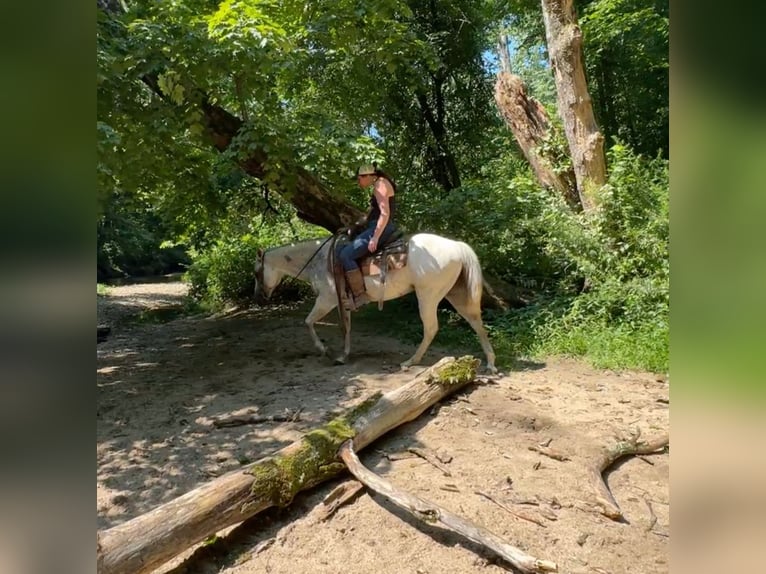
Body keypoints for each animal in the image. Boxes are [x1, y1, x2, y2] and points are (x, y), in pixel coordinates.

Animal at [255, 232, 500, 376]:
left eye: (256, 272)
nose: (259, 297)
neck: (320, 261)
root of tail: (458, 246)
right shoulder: (343, 303)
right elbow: (346, 329)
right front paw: (343, 356)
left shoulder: (326, 300)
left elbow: (308, 322)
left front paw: (324, 350)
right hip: (454, 294)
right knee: (477, 323)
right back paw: (490, 363)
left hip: (428, 296)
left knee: (431, 328)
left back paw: (410, 361)